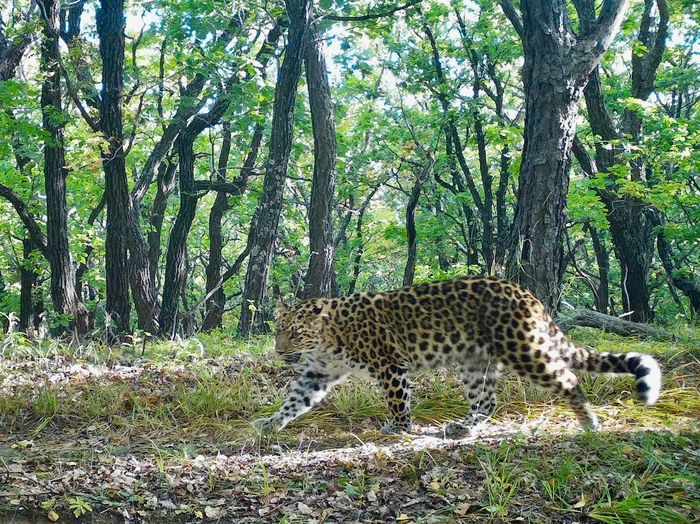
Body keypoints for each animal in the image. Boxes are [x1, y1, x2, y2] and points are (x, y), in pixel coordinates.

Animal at [253, 276, 662, 436]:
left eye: (294, 333)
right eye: (277, 331)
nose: (279, 351)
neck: (325, 340)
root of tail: (526, 293)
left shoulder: (389, 365)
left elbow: (397, 400)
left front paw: (399, 428)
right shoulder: (318, 373)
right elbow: (295, 400)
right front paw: (271, 423)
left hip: (523, 348)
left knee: (569, 379)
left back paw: (589, 422)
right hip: (475, 361)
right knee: (488, 399)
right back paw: (465, 427)